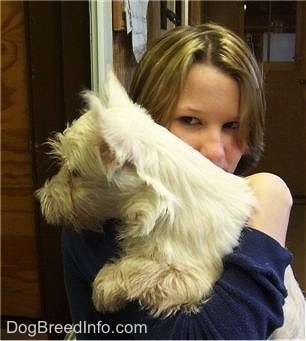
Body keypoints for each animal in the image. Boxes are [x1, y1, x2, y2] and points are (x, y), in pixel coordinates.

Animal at [35, 71, 304, 338]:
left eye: (75, 173)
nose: (42, 198)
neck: (159, 206)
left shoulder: (191, 277)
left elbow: (144, 269)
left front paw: (105, 286)